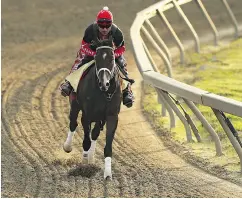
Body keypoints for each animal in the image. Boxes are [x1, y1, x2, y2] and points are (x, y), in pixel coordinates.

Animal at [63, 38, 121, 180]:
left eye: (112, 58)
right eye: (96, 57)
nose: (104, 83)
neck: (104, 93)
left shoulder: (112, 117)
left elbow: (107, 145)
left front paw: (107, 174)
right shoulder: (87, 115)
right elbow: (86, 141)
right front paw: (84, 163)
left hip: (99, 117)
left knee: (95, 133)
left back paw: (91, 156)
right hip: (75, 105)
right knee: (73, 124)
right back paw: (68, 146)